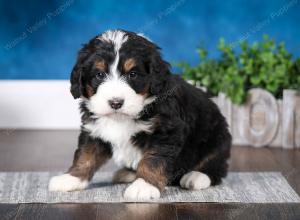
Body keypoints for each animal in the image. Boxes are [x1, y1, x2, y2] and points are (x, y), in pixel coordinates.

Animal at [49, 30, 232, 200]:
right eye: (99, 74)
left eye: (133, 74)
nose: (115, 103)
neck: (121, 117)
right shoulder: (94, 129)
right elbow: (85, 155)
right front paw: (71, 178)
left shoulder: (166, 131)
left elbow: (153, 159)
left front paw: (144, 186)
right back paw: (127, 173)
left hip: (218, 137)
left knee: (216, 166)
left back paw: (196, 177)